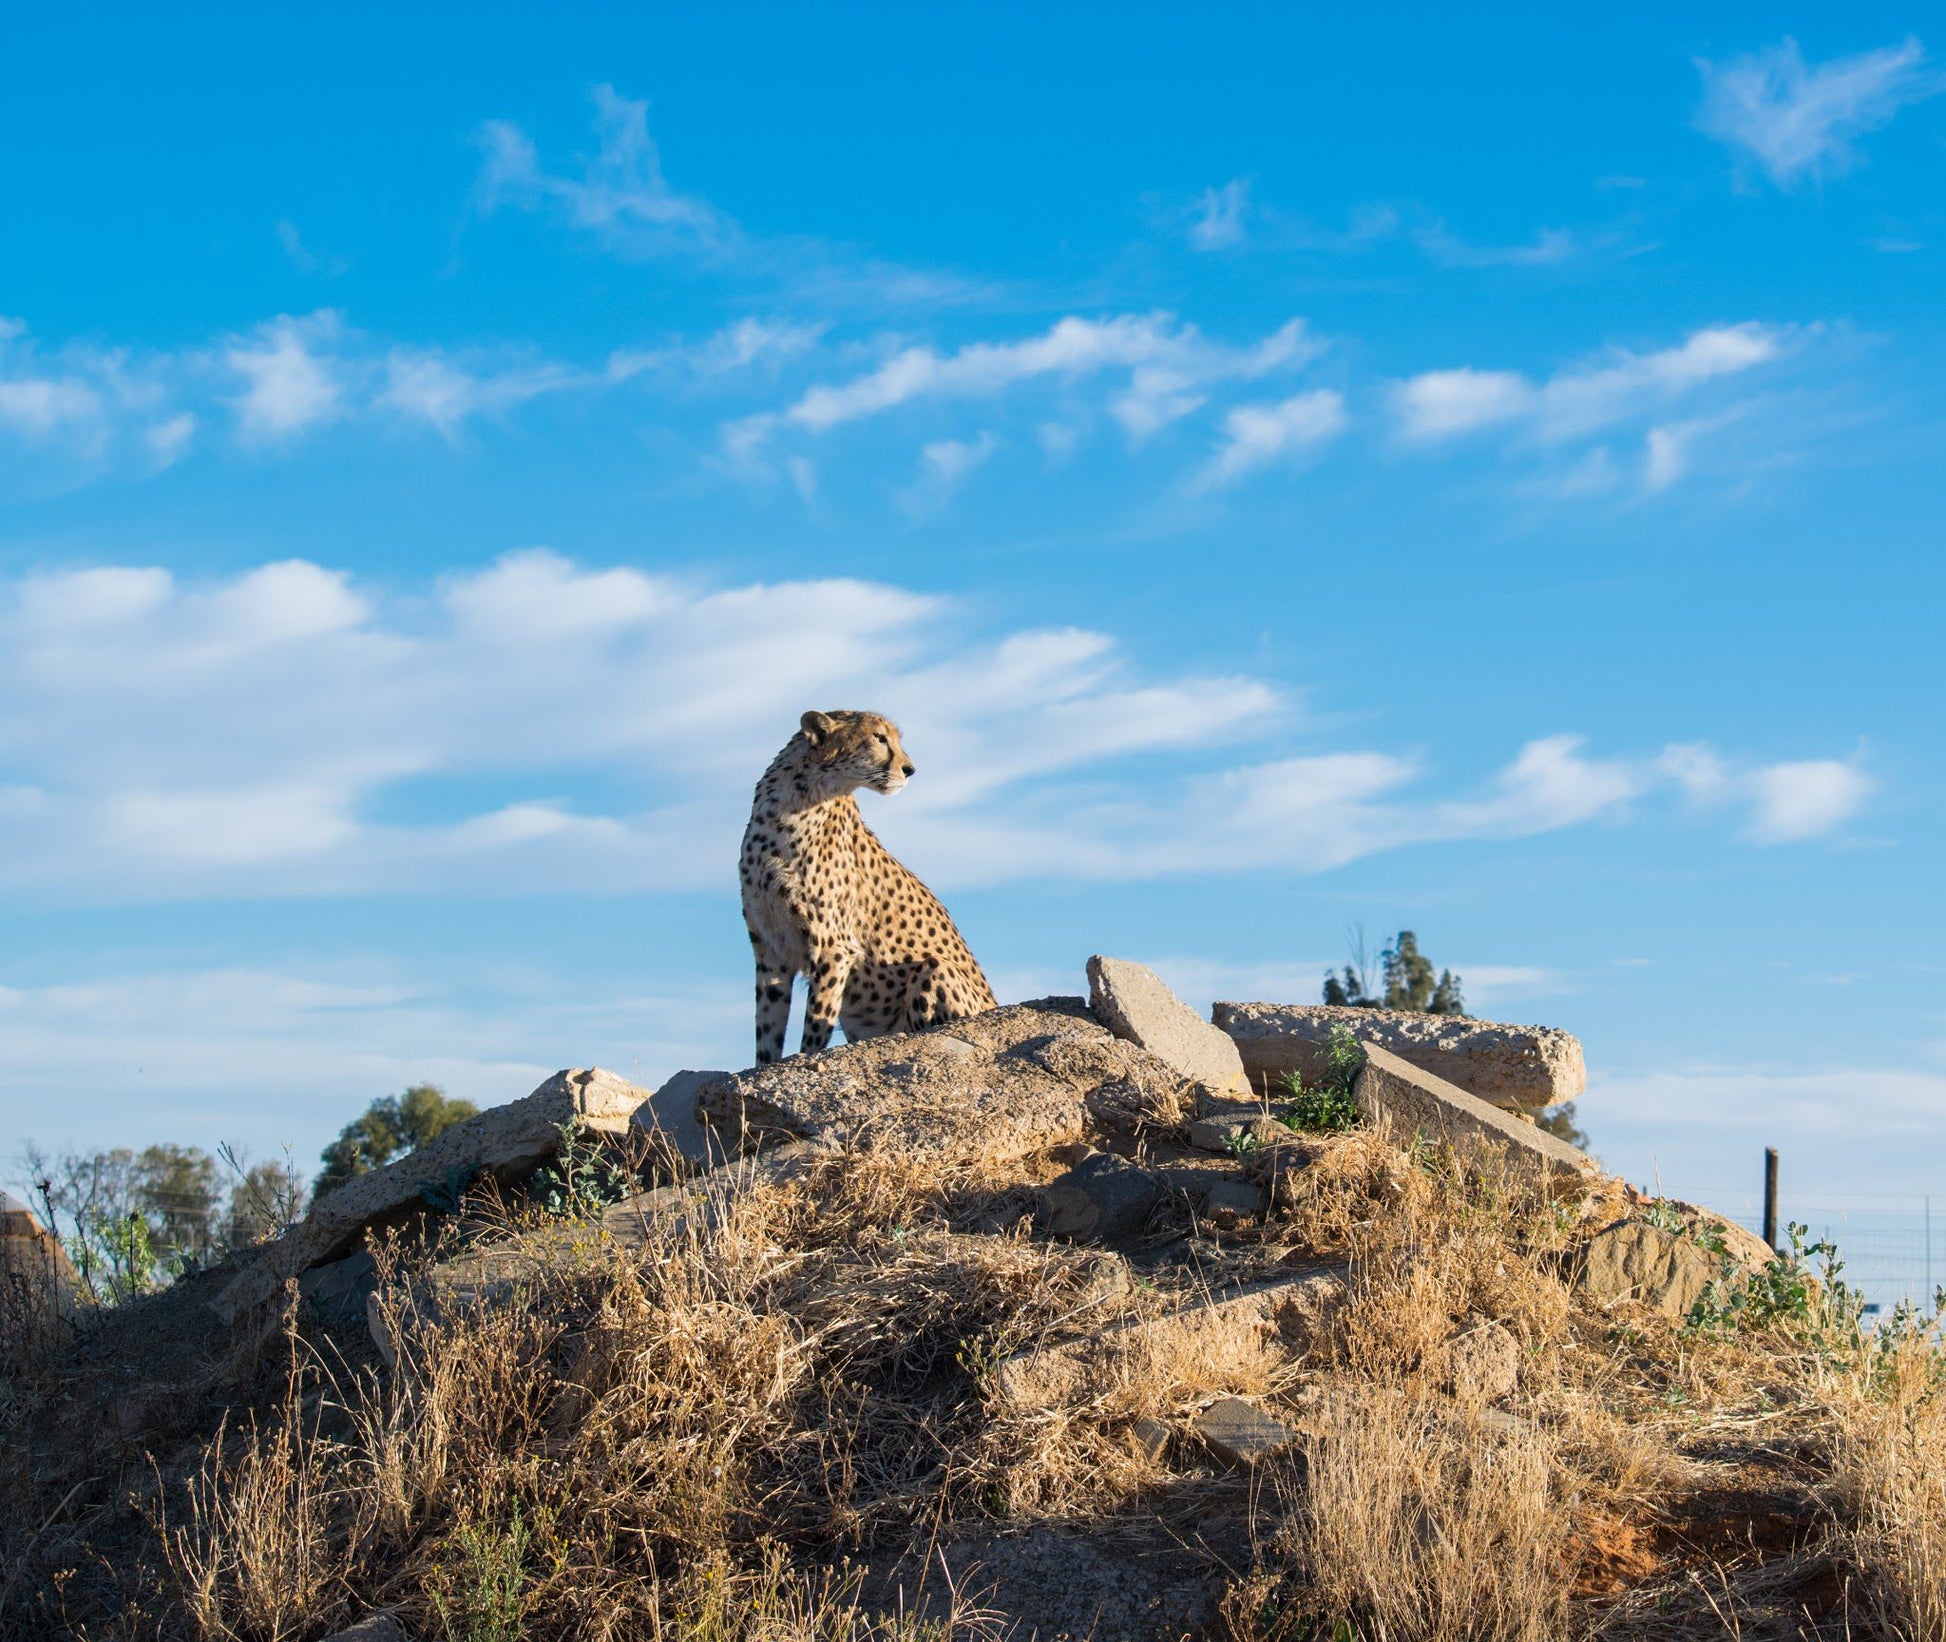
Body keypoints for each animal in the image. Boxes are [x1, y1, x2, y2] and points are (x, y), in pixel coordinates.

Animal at [735, 704, 996, 1066]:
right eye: (879, 738)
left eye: (895, 739)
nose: (910, 769)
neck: (793, 803)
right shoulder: (771, 949)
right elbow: (767, 1034)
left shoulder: (834, 947)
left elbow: (816, 1025)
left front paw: (807, 1057)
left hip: (934, 968)